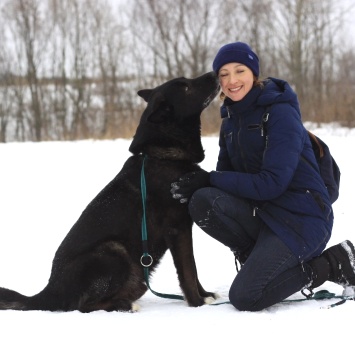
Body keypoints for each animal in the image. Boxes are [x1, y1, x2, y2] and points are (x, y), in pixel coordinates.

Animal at [0, 71, 220, 310]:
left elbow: (193, 271)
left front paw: (205, 295)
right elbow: (189, 270)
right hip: (114, 252)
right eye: (185, 87)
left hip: (135, 276)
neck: (161, 156)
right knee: (84, 307)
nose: (213, 73)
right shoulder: (177, 229)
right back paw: (125, 306)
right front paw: (198, 303)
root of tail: (48, 293)